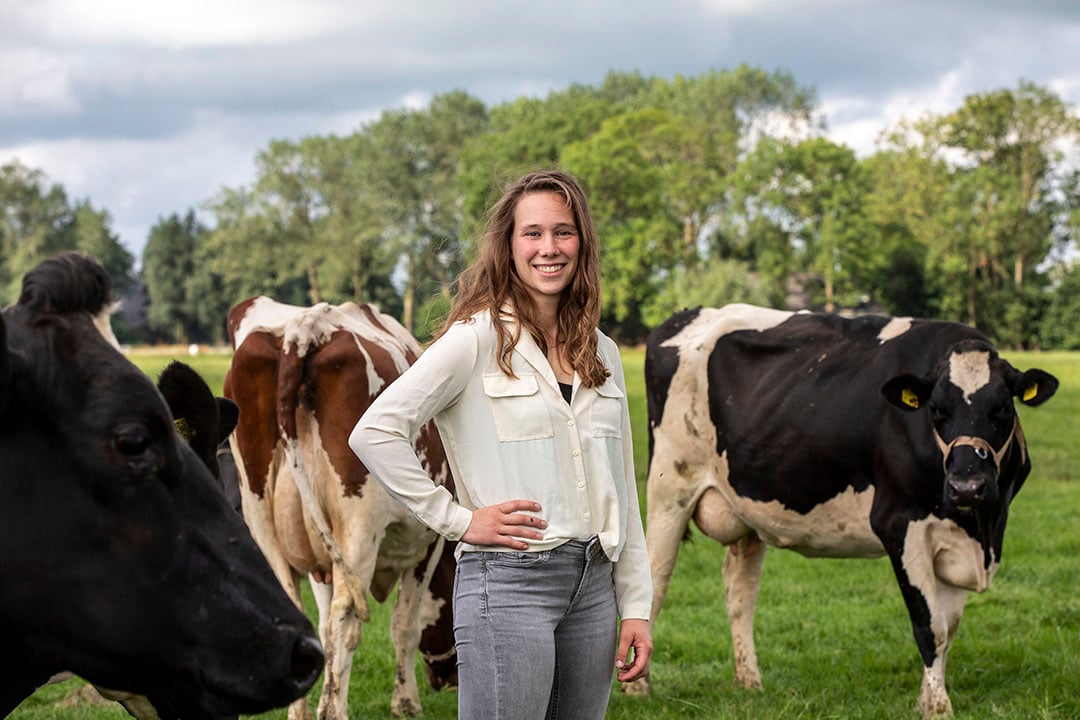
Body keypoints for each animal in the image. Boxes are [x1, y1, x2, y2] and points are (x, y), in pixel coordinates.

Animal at [225, 295, 453, 716]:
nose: (446, 680)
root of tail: (303, 329)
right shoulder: (428, 544)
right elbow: (404, 625)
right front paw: (406, 704)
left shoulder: (322, 564)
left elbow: (323, 632)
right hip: (357, 527)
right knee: (347, 619)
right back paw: (335, 711)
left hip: (261, 515)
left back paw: (298, 713)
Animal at [635, 302, 1058, 716]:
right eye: (936, 411)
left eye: (1003, 409)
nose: (966, 486)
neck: (982, 529)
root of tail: (687, 314)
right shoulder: (900, 524)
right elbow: (930, 626)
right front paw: (938, 707)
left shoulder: (961, 542)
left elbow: (948, 627)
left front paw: (928, 698)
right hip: (669, 488)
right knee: (655, 577)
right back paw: (638, 688)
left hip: (746, 506)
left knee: (740, 592)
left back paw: (749, 683)